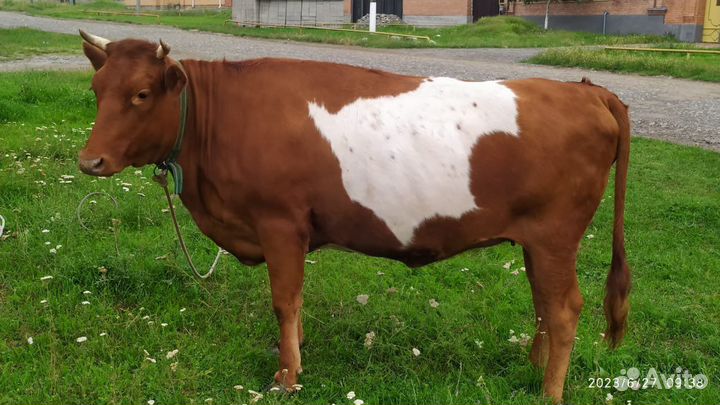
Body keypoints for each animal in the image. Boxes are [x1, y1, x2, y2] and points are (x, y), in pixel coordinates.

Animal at [76, 31, 631, 403]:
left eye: (141, 94)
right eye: (97, 90)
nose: (90, 161)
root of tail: (585, 89)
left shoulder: (280, 223)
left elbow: (284, 301)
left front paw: (287, 376)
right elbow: (296, 303)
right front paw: (297, 353)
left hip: (556, 235)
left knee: (564, 309)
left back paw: (549, 392)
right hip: (538, 242)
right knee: (543, 303)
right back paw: (532, 367)